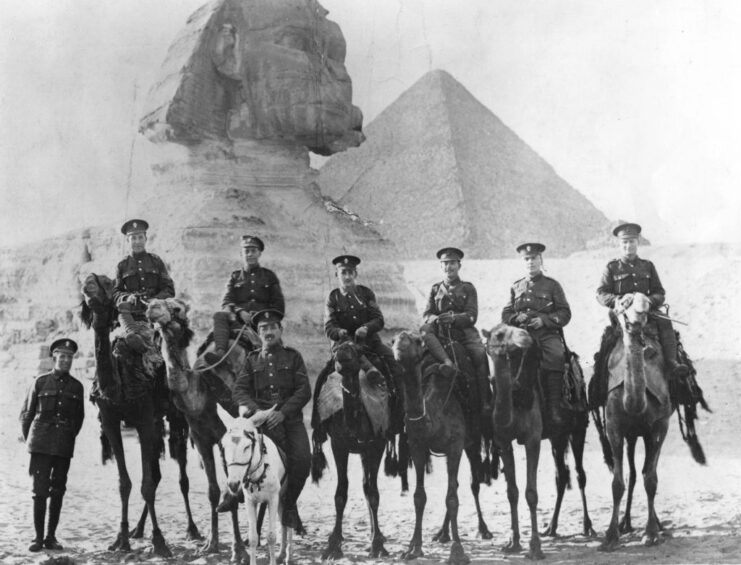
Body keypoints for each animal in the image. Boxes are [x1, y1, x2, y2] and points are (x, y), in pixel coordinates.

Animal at [80, 272, 199, 556]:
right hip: (156, 423)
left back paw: (192, 529)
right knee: (155, 474)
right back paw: (138, 529)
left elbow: (146, 483)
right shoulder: (111, 421)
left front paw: (160, 542)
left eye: (106, 282)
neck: (118, 385)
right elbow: (126, 483)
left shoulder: (144, 417)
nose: (88, 280)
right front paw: (121, 539)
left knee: (181, 475)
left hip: (175, 417)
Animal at [310, 340, 394, 560]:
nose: (342, 351)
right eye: (336, 348)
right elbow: (341, 493)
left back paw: (376, 535)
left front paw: (377, 546)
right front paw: (333, 546)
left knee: (367, 486)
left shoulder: (377, 444)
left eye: (356, 349)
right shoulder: (339, 444)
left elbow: (373, 493)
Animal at [394, 330, 468, 564]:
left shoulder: (456, 445)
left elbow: (452, 498)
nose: (400, 342)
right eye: (393, 340)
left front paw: (458, 551)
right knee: (455, 485)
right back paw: (441, 534)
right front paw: (414, 549)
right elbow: (419, 497)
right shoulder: (417, 446)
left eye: (418, 341)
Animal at [482, 322, 548, 560]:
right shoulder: (502, 441)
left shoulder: (533, 439)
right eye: (500, 334)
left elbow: (531, 493)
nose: (526, 336)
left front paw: (535, 547)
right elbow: (512, 492)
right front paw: (513, 542)